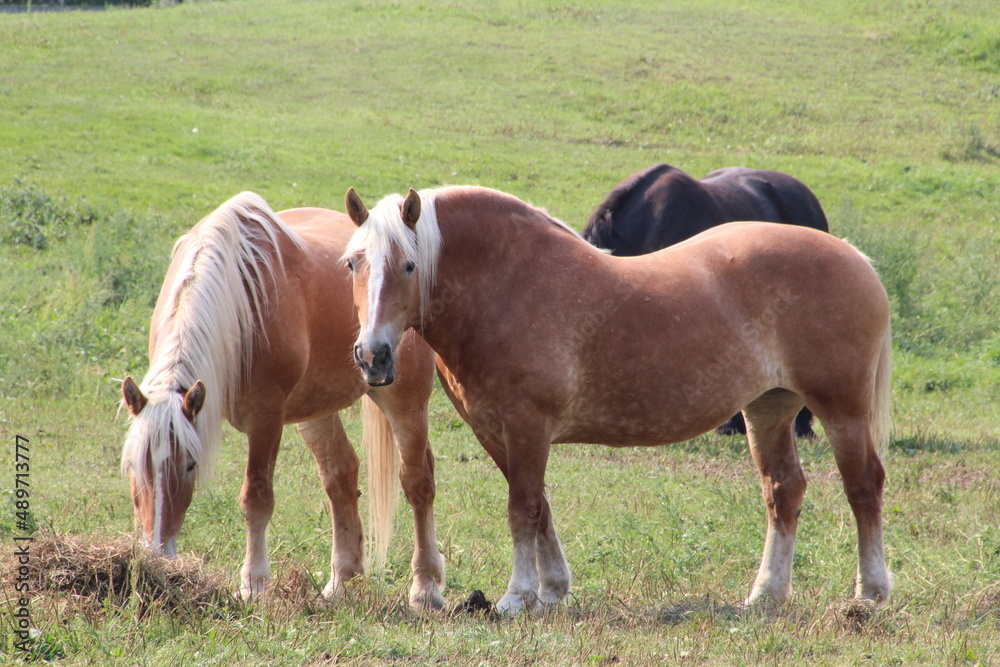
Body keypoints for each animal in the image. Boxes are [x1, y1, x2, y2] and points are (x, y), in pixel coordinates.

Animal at [118, 193, 446, 612]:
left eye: (190, 465)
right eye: (133, 466)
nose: (157, 556)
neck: (238, 298)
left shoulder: (266, 416)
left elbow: (256, 499)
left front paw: (253, 584)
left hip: (404, 401)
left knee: (418, 481)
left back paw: (426, 588)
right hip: (315, 412)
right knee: (341, 476)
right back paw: (342, 581)